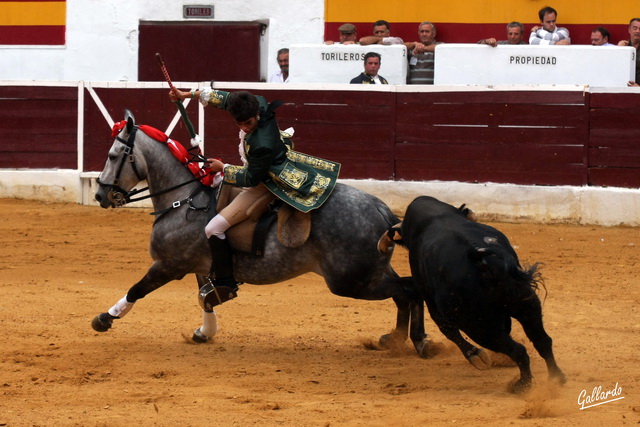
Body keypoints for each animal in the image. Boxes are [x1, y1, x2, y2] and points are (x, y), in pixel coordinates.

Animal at [90, 112, 428, 356]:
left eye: (113, 155)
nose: (100, 195)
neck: (185, 198)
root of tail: (383, 210)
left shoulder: (168, 266)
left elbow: (137, 289)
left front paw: (105, 318)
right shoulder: (202, 265)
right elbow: (206, 299)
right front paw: (204, 332)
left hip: (351, 281)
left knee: (409, 290)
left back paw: (415, 341)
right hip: (372, 271)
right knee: (406, 291)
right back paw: (399, 339)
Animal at [392, 196, 568, 392]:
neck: (437, 217)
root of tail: (484, 260)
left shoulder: (432, 302)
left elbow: (447, 329)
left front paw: (475, 356)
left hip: (478, 325)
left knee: (518, 350)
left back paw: (522, 385)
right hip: (526, 305)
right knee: (542, 341)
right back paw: (556, 378)